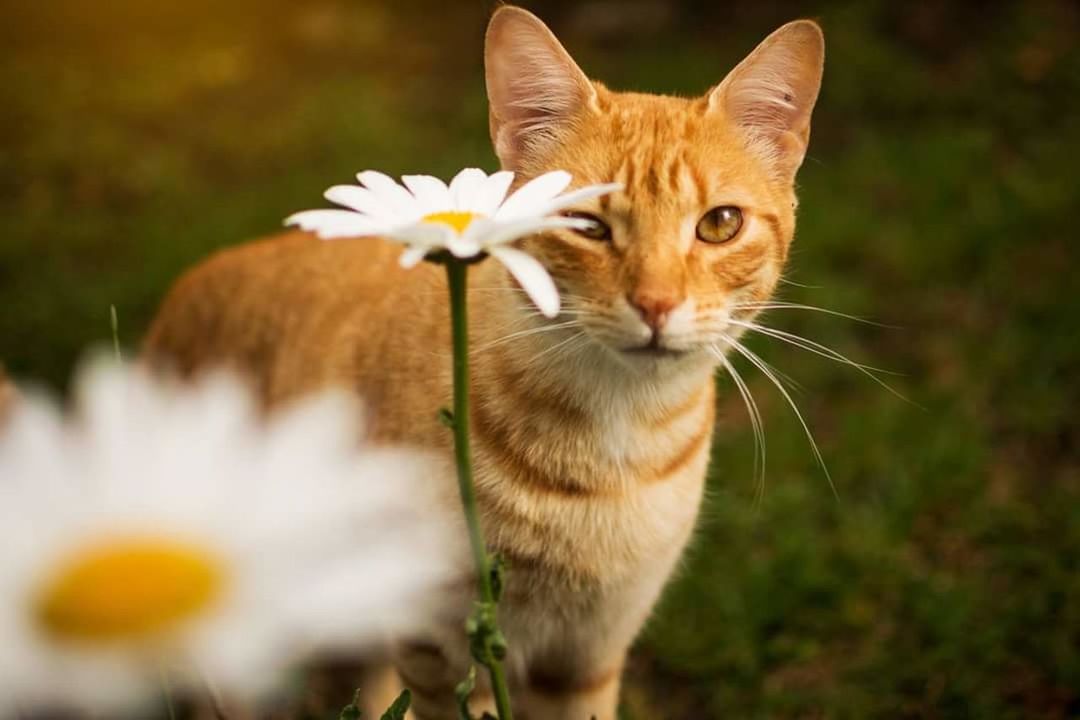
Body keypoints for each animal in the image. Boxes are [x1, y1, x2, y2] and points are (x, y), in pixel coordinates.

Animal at [141, 7, 816, 720]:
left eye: (719, 224)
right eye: (586, 225)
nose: (656, 303)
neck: (610, 443)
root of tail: (187, 284)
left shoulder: (586, 658)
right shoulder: (438, 647)